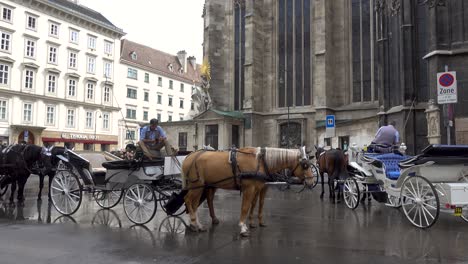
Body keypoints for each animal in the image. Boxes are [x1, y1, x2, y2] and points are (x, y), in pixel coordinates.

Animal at [182, 146, 314, 237]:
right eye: (305, 165)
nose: (312, 182)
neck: (260, 161)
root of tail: (190, 156)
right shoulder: (249, 188)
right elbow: (245, 207)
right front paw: (243, 227)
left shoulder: (258, 187)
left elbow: (256, 204)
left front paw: (254, 223)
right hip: (197, 185)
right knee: (188, 200)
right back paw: (194, 222)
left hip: (203, 186)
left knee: (197, 203)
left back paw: (198, 224)